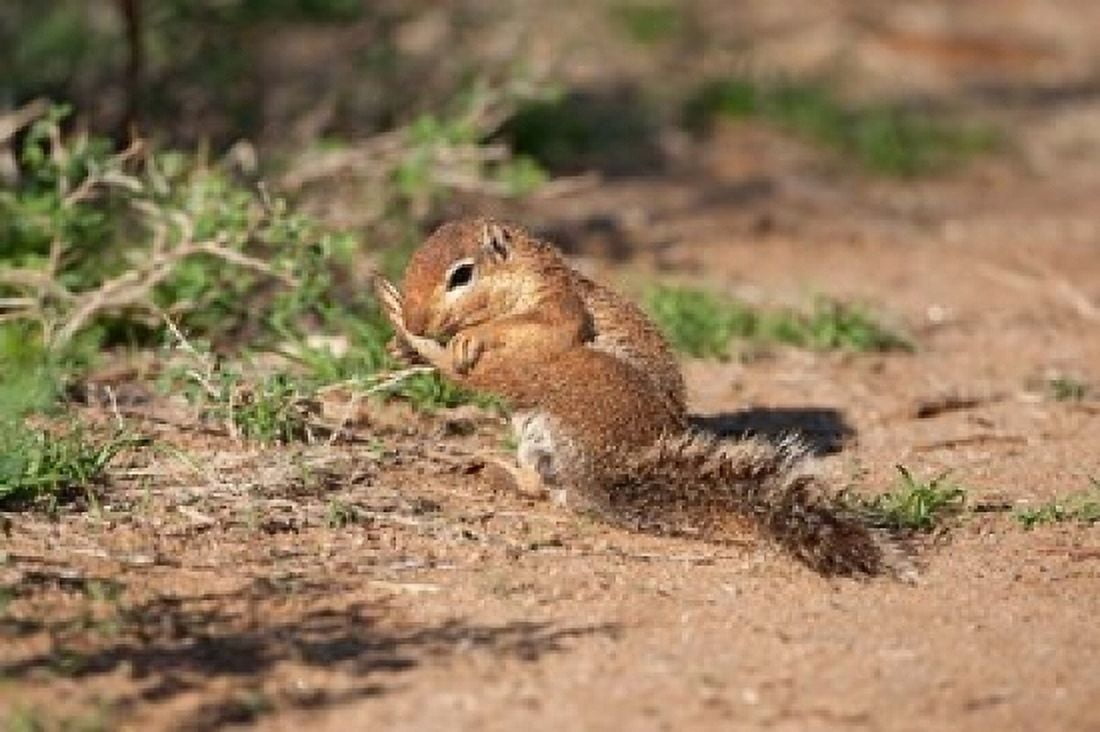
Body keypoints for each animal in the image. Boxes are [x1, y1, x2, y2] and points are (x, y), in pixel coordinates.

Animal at [372, 218, 910, 578]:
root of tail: (615, 463)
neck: (526, 268)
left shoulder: (560, 306)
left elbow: (537, 325)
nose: (419, 318)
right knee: (545, 486)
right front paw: (400, 346)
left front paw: (459, 337)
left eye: (461, 275)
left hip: (564, 372)